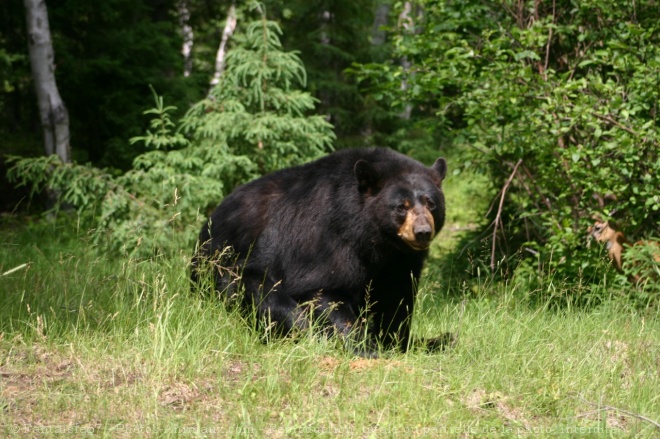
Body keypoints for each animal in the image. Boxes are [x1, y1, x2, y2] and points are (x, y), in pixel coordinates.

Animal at [191, 148, 448, 358]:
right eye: (401, 207)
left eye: (431, 203)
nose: (422, 232)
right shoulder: (325, 237)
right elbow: (322, 288)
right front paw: (364, 346)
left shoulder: (400, 260)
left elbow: (396, 297)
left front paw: (398, 342)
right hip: (224, 264)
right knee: (261, 290)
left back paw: (442, 339)